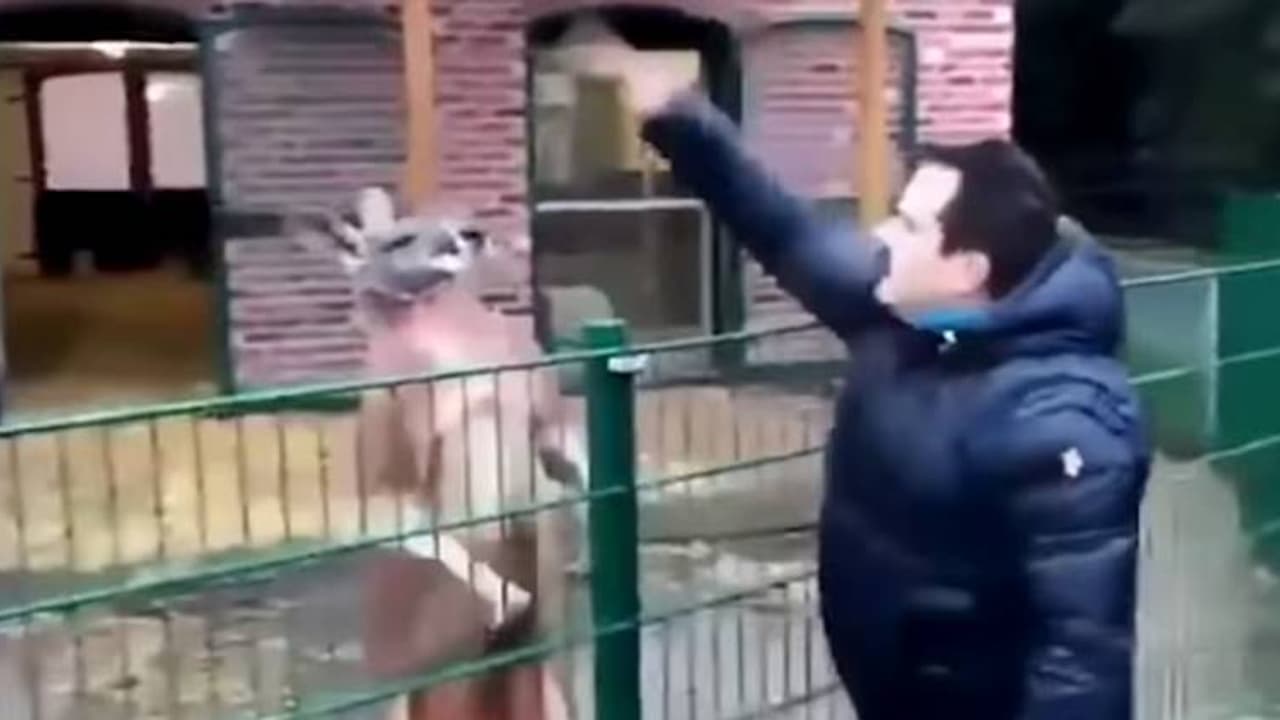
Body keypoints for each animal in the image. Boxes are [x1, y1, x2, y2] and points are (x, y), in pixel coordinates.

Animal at [289, 187, 586, 719]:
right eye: (398, 240)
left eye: (453, 223)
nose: (467, 236)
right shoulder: (393, 460)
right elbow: (422, 527)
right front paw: (507, 598)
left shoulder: (544, 413)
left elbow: (570, 461)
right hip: (406, 694)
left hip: (549, 685)